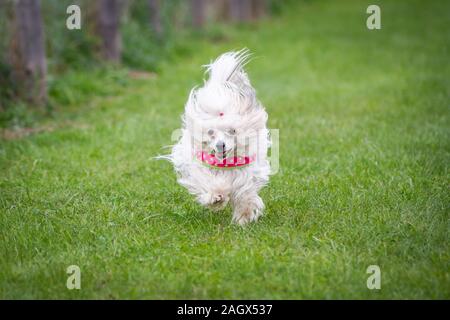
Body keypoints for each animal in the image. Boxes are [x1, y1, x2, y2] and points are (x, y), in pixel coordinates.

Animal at [166, 50, 270, 225]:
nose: (220, 145)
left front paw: (245, 215)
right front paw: (216, 197)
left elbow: (245, 191)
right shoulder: (199, 166)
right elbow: (209, 182)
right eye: (210, 132)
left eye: (232, 131)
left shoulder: (247, 171)